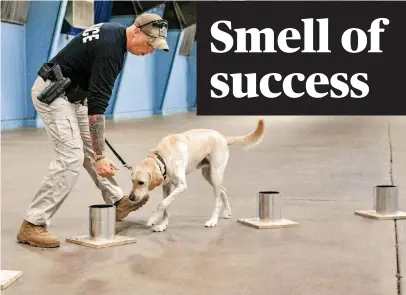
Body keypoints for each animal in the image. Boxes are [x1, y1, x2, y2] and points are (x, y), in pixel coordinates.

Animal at [128, 119, 264, 232]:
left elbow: (162, 203)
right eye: (132, 181)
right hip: (208, 175)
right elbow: (166, 205)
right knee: (223, 190)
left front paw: (153, 218)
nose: (130, 198)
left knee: (218, 200)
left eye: (141, 182)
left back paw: (213, 221)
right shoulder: (166, 187)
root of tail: (222, 136)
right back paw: (227, 211)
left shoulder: (181, 186)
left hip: (215, 174)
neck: (163, 156)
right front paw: (162, 225)